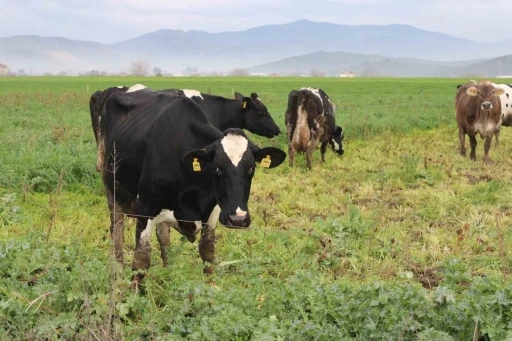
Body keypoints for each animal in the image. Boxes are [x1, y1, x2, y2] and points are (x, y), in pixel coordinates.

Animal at [102, 89, 286, 274]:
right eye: (216, 168)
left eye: (251, 168)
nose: (238, 219)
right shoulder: (145, 209)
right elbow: (141, 262)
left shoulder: (213, 211)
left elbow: (208, 255)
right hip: (112, 190)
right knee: (116, 231)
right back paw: (116, 271)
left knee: (163, 235)